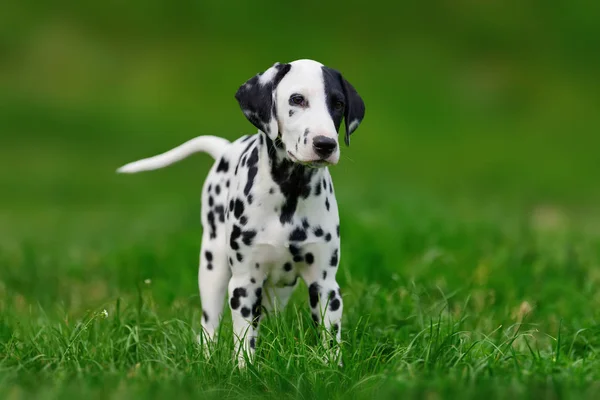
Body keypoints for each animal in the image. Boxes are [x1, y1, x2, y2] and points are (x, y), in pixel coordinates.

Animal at [115, 59, 364, 366]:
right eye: (297, 99)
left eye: (338, 104)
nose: (325, 144)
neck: (289, 193)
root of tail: (225, 149)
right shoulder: (244, 284)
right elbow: (245, 338)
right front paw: (244, 369)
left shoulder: (325, 284)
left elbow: (329, 337)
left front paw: (332, 368)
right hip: (213, 268)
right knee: (208, 325)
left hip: (279, 290)